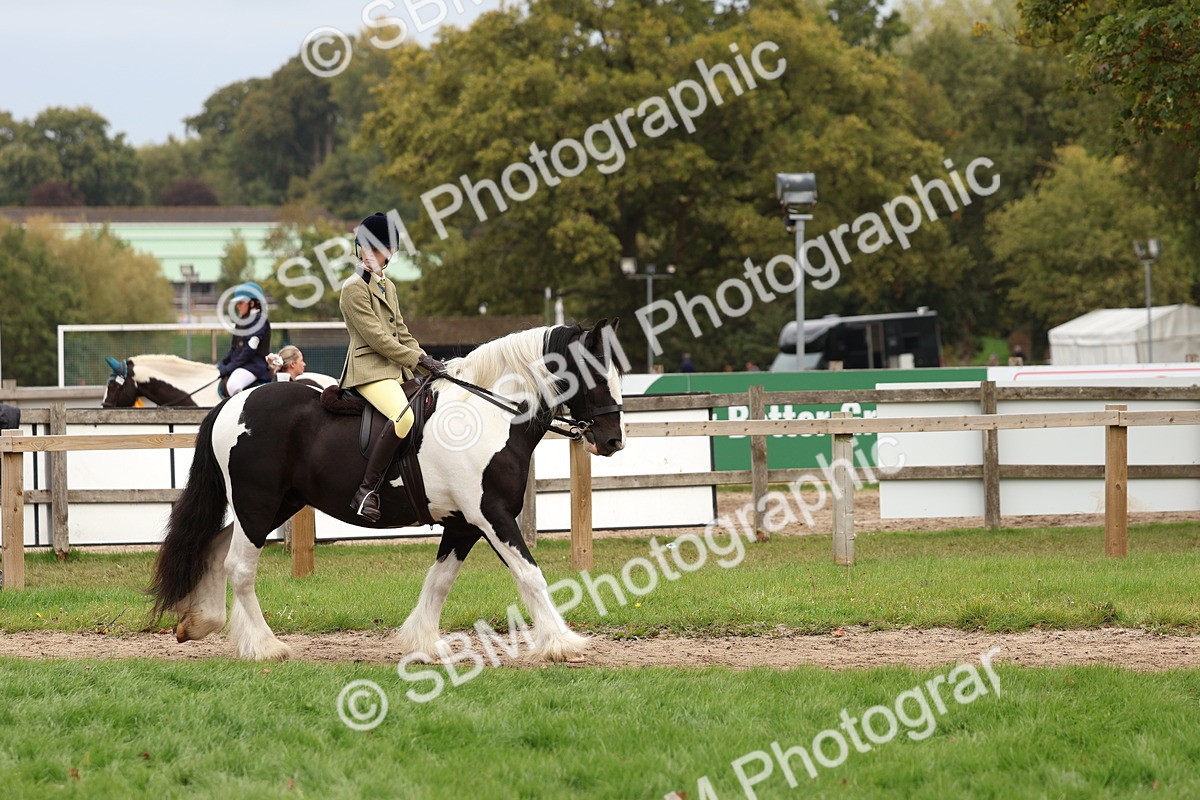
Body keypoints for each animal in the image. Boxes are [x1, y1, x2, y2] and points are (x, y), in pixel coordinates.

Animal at [148, 320, 626, 662]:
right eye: (594, 373)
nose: (612, 441)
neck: (489, 414)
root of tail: (232, 404)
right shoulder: (491, 515)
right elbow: (530, 575)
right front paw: (562, 643)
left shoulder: (463, 525)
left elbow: (440, 582)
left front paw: (424, 643)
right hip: (258, 503)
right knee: (240, 568)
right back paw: (265, 647)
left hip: (273, 506)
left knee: (214, 549)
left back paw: (202, 623)